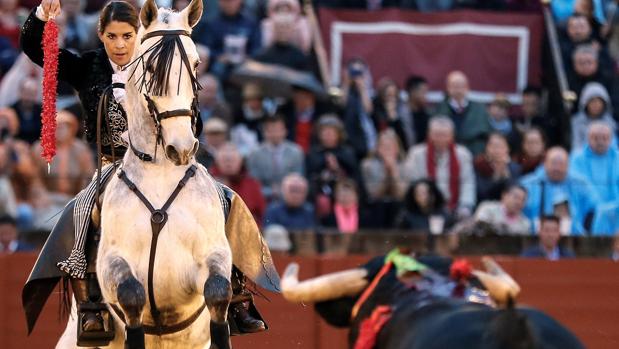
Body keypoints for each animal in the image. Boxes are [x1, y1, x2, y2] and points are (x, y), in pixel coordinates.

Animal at [55, 1, 232, 346]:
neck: (161, 171)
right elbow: (132, 295)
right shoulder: (113, 263)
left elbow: (218, 292)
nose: (182, 147)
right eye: (151, 68)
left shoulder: (213, 252)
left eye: (196, 63)